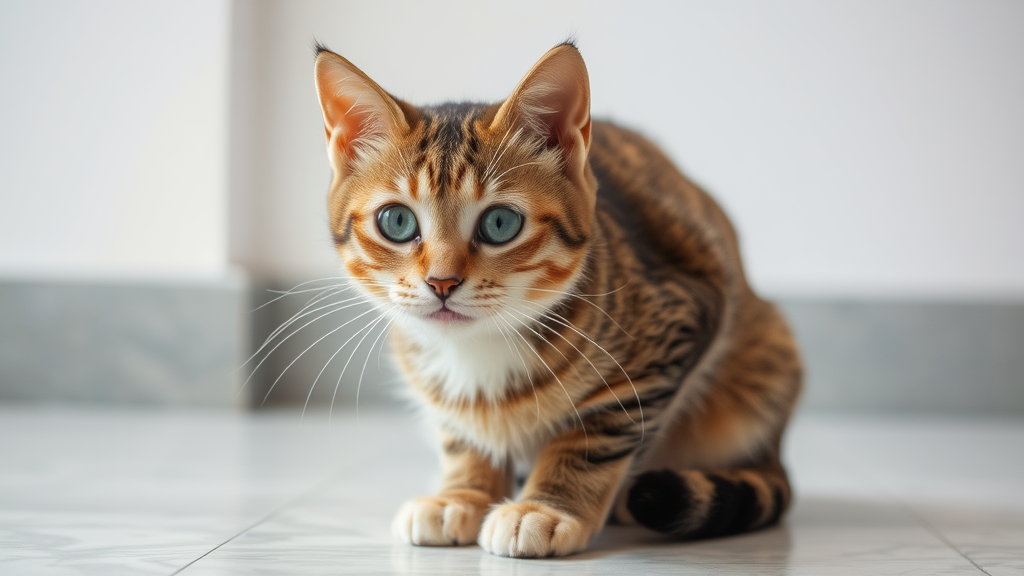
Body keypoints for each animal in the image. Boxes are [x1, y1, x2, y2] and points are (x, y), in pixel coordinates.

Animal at [309, 41, 798, 557]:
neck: (478, 349)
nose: (442, 282)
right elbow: (462, 434)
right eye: (397, 222)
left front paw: (544, 508)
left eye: (500, 223)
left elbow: (592, 434)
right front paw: (461, 494)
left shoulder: (680, 321)